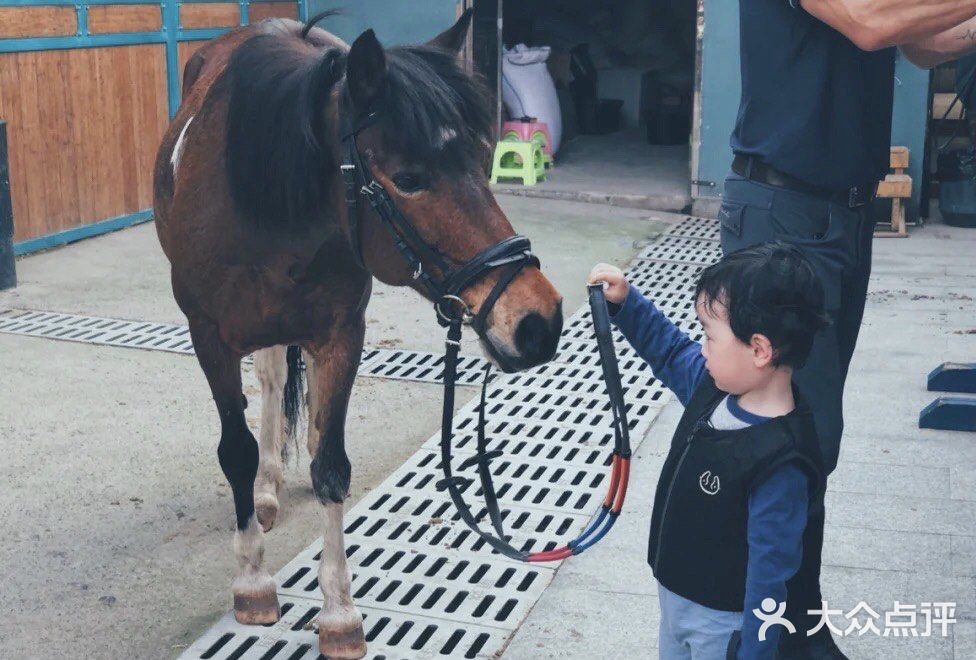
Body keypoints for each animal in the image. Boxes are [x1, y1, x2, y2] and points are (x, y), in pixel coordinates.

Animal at [152, 10, 563, 658]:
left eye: (482, 160)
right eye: (409, 177)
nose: (538, 321)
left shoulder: (341, 334)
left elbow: (330, 466)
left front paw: (339, 613)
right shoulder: (208, 337)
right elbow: (235, 451)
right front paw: (252, 579)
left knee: (279, 380)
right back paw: (263, 494)